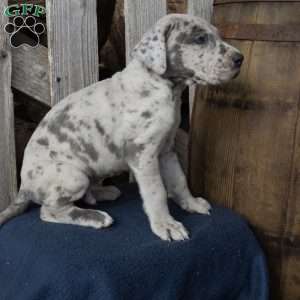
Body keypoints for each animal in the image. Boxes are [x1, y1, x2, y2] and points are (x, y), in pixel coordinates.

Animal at [0, 14, 244, 241]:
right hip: (73, 175)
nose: (240, 58)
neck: (164, 88)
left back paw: (102, 192)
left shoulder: (166, 149)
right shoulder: (142, 154)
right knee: (50, 211)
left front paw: (191, 204)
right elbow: (157, 192)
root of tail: (23, 188)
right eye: (200, 39)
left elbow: (179, 181)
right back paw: (96, 217)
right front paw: (166, 225)